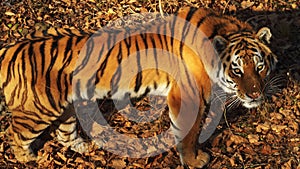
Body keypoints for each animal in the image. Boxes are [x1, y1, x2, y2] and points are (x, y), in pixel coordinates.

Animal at [0, 6, 276, 168]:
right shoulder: (187, 97)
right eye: (236, 70)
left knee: (64, 133)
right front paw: (194, 161)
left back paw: (83, 146)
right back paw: (29, 158)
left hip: (65, 106)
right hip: (36, 111)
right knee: (15, 134)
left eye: (259, 66)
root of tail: (12, 49)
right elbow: (187, 134)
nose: (255, 95)